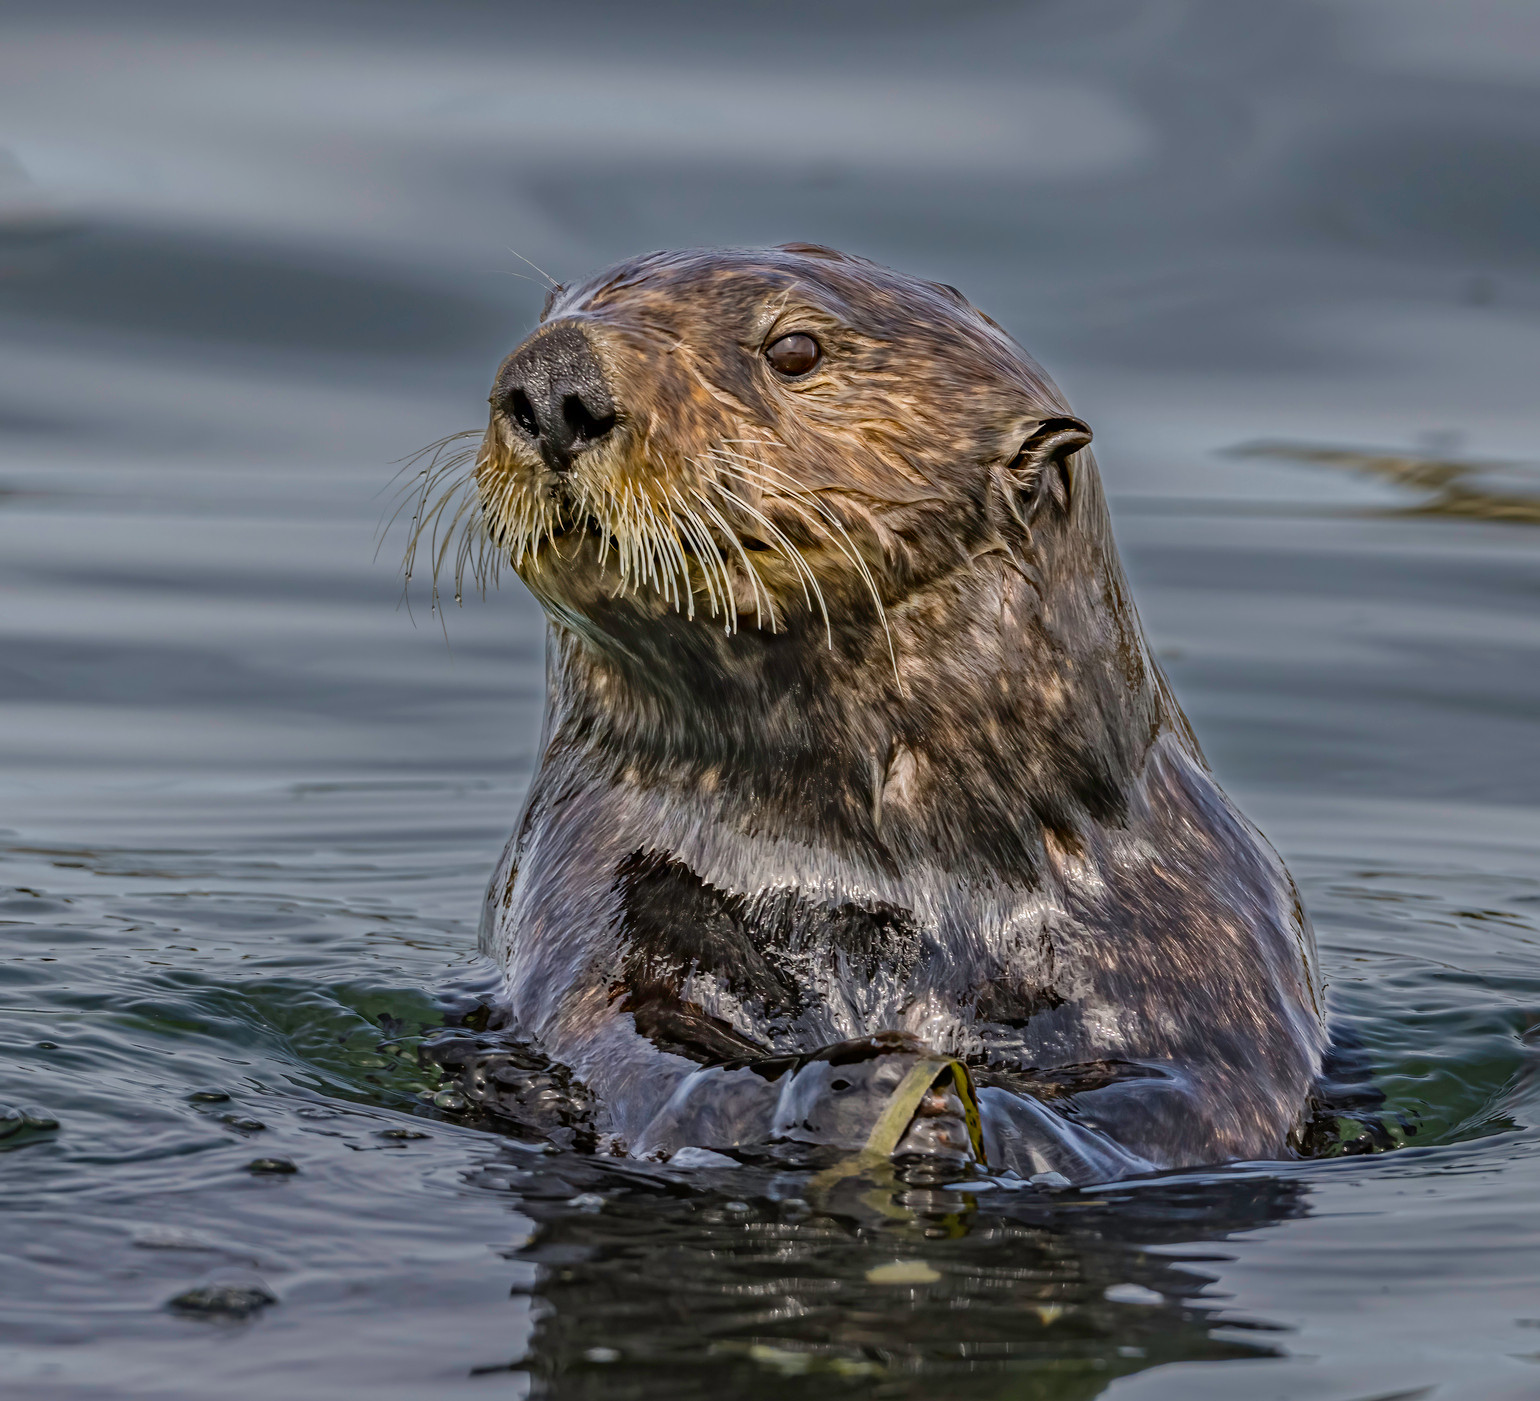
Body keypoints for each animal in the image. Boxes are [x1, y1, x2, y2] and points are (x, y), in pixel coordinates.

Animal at [422, 244, 1325, 1182]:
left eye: (794, 350)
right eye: (549, 314)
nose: (552, 378)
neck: (884, 878)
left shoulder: (1205, 920)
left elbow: (1211, 1093)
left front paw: (968, 1110)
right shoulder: (586, 875)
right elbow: (613, 1035)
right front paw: (867, 1090)